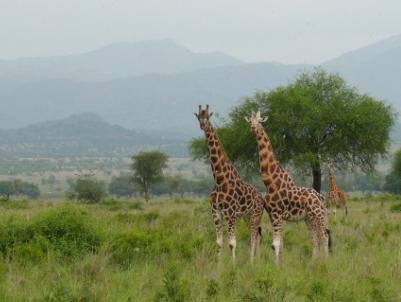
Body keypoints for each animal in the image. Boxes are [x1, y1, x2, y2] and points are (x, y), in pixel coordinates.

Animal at [195, 104, 264, 262]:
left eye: (208, 117)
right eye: (198, 117)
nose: (203, 125)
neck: (220, 180)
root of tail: (261, 197)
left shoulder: (231, 213)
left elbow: (232, 243)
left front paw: (233, 264)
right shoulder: (216, 212)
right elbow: (219, 242)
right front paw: (218, 264)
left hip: (255, 214)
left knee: (254, 235)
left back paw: (253, 261)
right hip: (246, 216)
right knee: (255, 235)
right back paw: (255, 260)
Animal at [244, 111, 332, 262]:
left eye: (260, 121)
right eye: (250, 121)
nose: (253, 128)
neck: (270, 182)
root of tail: (320, 197)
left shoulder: (276, 213)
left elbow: (276, 243)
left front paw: (276, 265)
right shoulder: (273, 214)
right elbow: (280, 243)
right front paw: (281, 263)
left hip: (318, 214)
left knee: (324, 236)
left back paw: (325, 261)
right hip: (308, 218)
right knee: (315, 238)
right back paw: (313, 261)